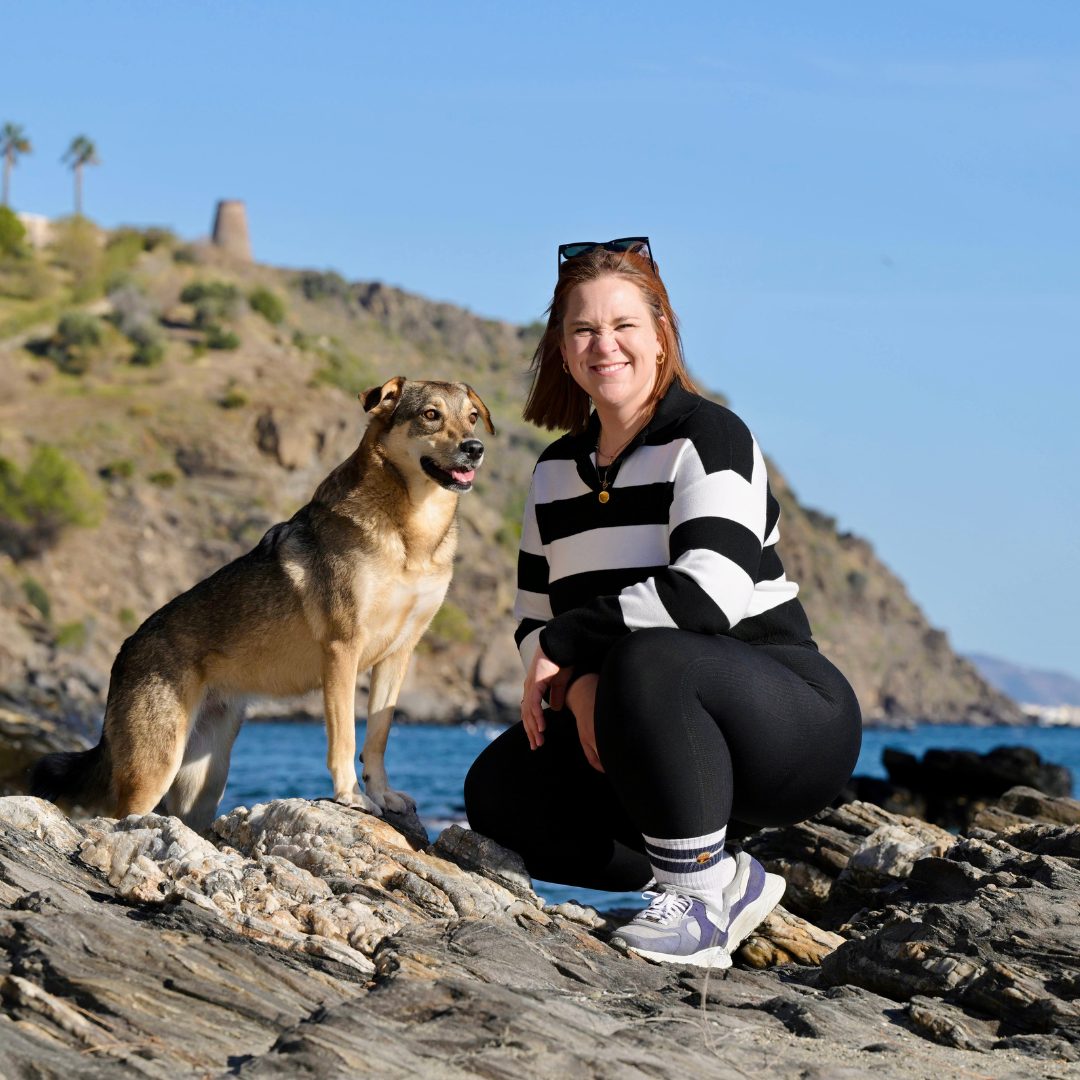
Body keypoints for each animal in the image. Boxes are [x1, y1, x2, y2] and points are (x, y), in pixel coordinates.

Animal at [32, 376, 494, 831]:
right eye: (431, 415)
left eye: (472, 417)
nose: (475, 448)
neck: (412, 535)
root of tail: (124, 651)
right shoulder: (342, 650)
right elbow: (344, 739)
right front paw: (350, 796)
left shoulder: (398, 654)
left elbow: (377, 739)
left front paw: (381, 794)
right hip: (154, 768)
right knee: (112, 818)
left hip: (203, 781)